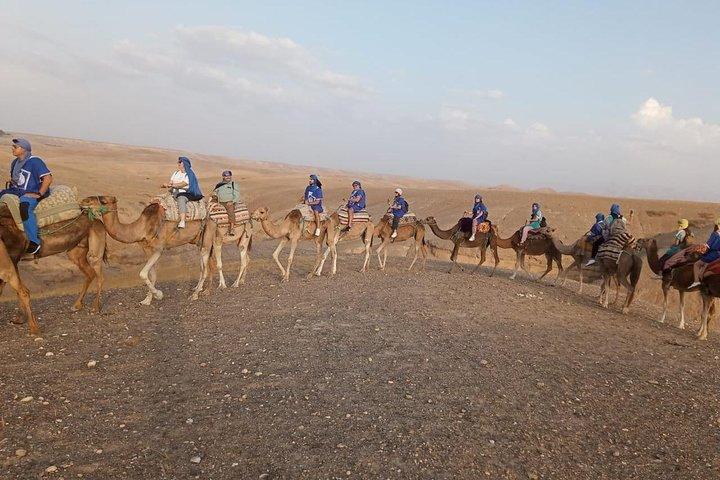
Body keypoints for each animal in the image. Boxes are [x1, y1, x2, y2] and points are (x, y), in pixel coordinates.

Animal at [0, 202, 107, 335]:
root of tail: (97, 220)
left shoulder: (12, 258)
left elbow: (18, 290)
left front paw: (28, 324)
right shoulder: (12, 260)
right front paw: (20, 319)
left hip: (95, 244)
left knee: (99, 275)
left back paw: (95, 308)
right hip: (76, 251)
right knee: (90, 273)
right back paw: (77, 305)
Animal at [79, 196, 219, 305]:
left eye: (103, 201)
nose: (83, 202)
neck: (142, 227)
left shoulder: (159, 249)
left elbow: (142, 273)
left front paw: (158, 294)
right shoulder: (146, 249)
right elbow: (151, 275)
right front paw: (147, 300)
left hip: (208, 236)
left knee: (205, 269)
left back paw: (195, 295)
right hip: (199, 241)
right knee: (203, 266)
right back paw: (199, 289)